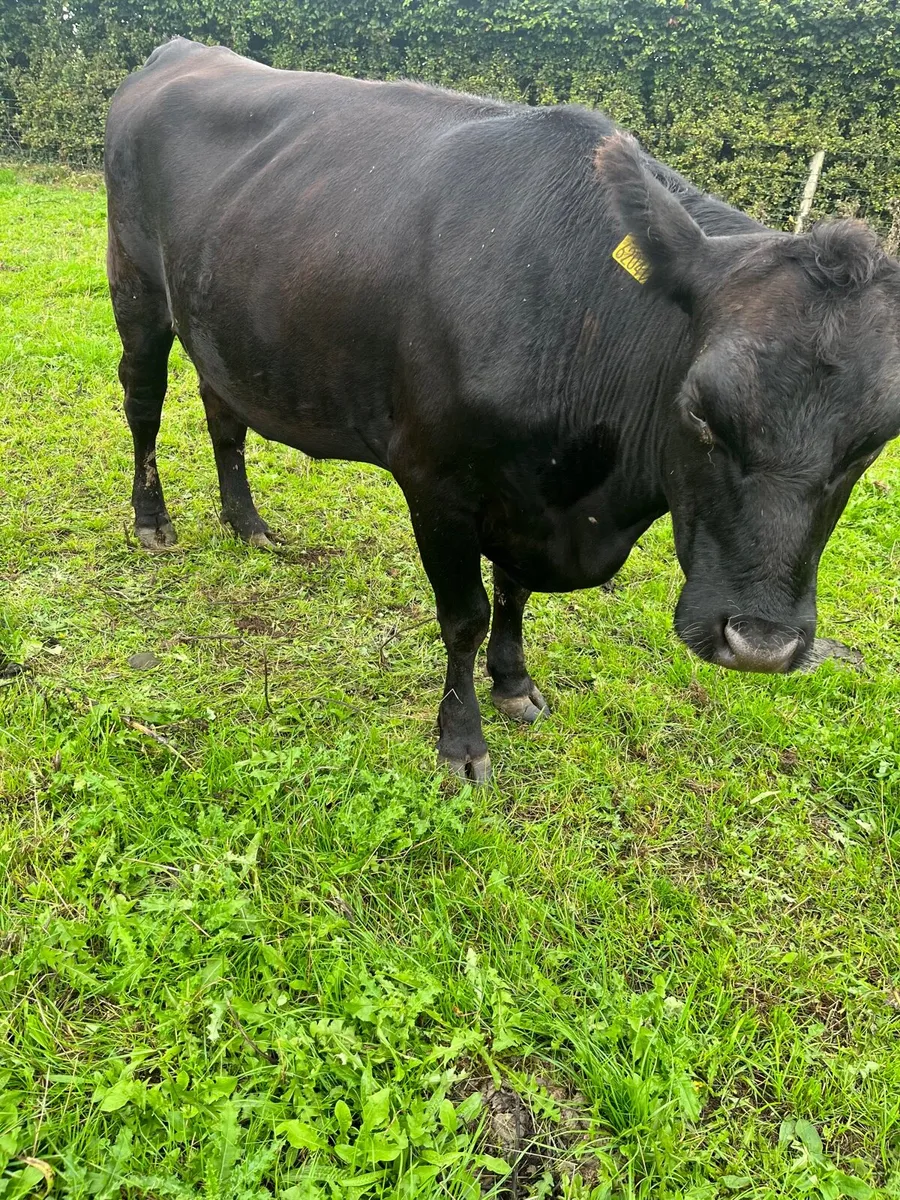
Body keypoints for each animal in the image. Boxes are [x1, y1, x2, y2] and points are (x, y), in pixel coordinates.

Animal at [105, 38, 900, 781]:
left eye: (872, 441)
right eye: (699, 411)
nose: (763, 644)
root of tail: (181, 49)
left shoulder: (529, 495)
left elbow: (514, 596)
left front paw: (514, 684)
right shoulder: (436, 483)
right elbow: (465, 617)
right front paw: (461, 741)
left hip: (222, 320)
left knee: (223, 413)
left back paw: (247, 523)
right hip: (136, 287)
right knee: (144, 404)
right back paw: (152, 521)